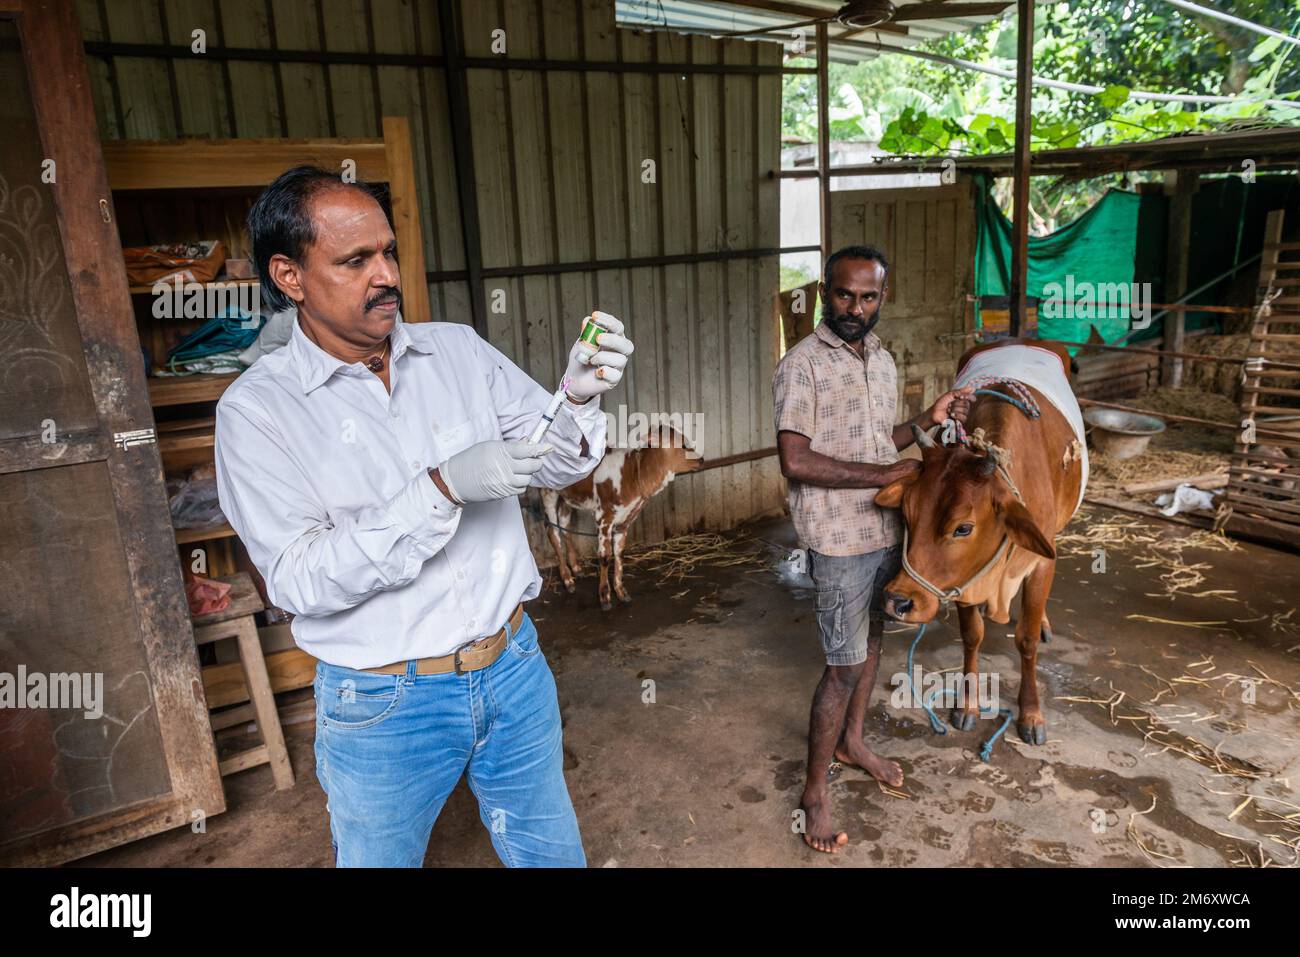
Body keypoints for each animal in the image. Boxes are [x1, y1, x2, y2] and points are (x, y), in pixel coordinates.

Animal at [538, 423, 702, 608]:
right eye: (683, 444)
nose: (701, 460)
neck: (634, 473)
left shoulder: (625, 520)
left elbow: (619, 554)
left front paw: (621, 591)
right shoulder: (603, 517)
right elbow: (604, 556)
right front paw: (604, 596)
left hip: (568, 497)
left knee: (565, 526)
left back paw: (576, 568)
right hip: (547, 492)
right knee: (553, 532)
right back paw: (567, 579)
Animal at [873, 338, 1086, 748]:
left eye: (963, 528)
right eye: (906, 513)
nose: (897, 601)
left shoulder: (1041, 561)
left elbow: (1027, 640)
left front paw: (1031, 714)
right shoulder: (965, 579)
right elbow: (972, 637)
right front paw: (968, 705)